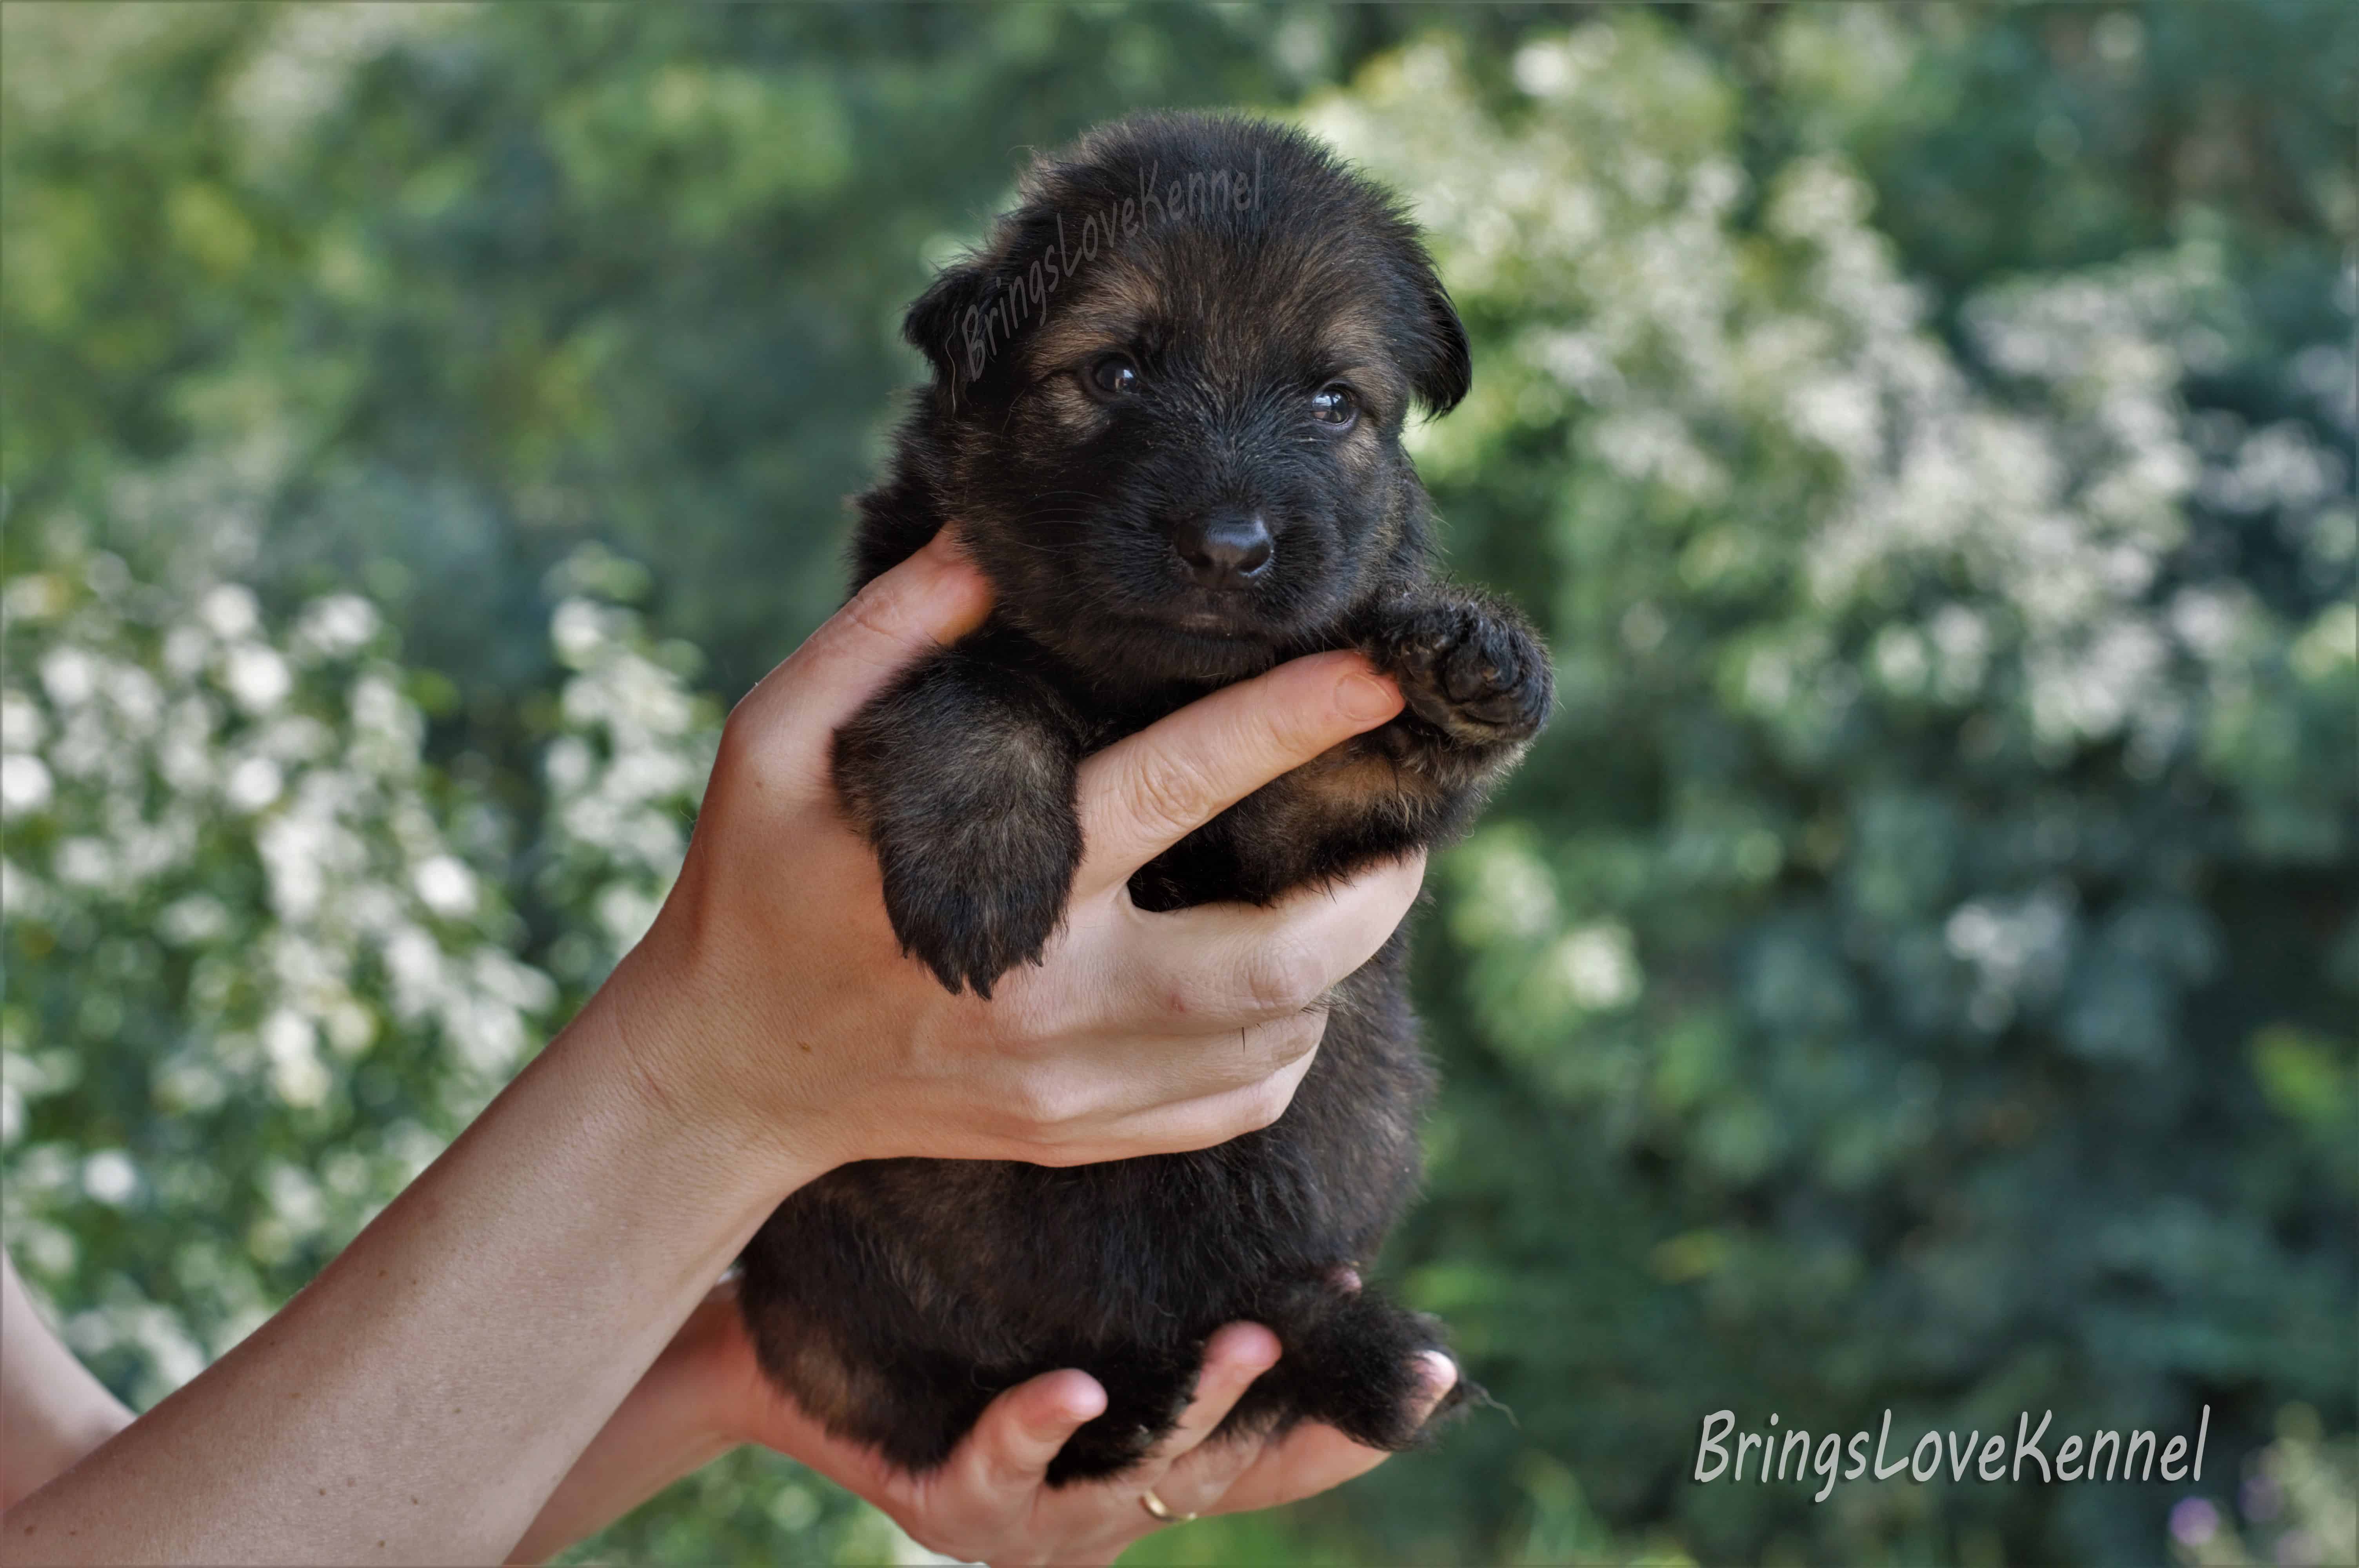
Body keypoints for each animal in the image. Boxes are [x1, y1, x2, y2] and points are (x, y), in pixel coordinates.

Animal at [736, 110, 1547, 1481]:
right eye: (1114, 375)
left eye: (1332, 402)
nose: (1232, 547)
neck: (1147, 687)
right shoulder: (887, 643)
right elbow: (969, 686)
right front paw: (984, 866)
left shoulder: (1282, 838)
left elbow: (1349, 763)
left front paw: (1467, 668)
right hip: (823, 1244)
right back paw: (1123, 1414)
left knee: (1270, 1297)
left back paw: (1358, 1354)